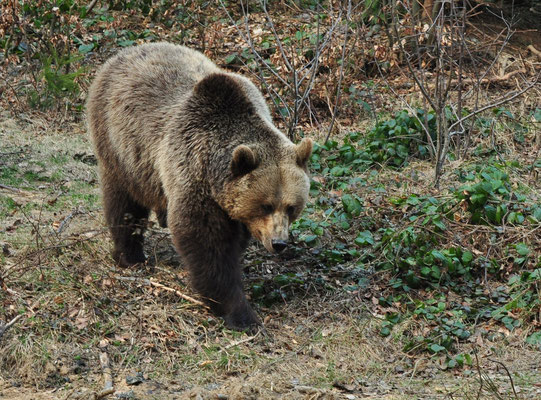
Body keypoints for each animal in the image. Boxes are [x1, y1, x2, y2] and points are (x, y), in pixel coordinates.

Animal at [86, 42, 310, 330]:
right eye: (266, 205)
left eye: (292, 207)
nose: (279, 242)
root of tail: (125, 52)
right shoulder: (193, 172)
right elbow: (205, 241)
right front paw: (240, 312)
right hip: (121, 146)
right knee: (124, 203)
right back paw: (130, 256)